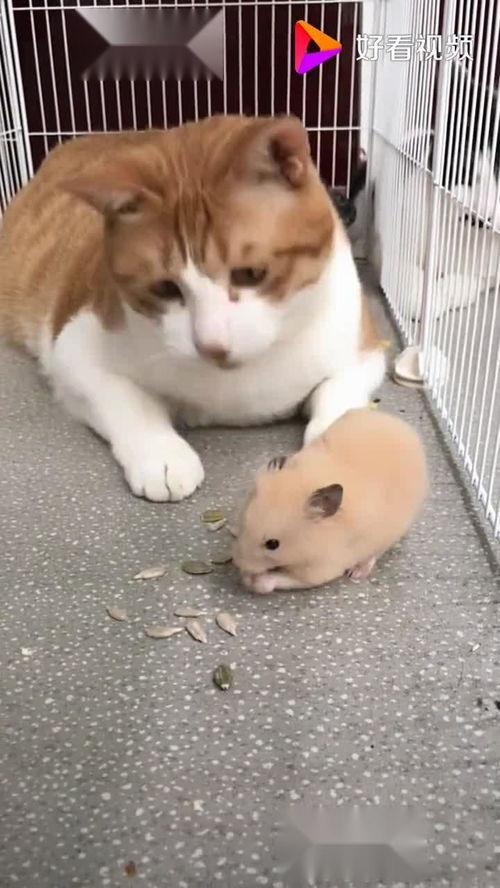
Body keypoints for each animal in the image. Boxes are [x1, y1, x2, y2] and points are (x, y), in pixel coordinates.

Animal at [0, 115, 385, 502]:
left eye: (250, 274)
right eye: (165, 288)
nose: (211, 345)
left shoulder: (365, 348)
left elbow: (338, 392)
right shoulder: (72, 351)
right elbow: (127, 399)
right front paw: (161, 453)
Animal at [232, 408, 428, 593]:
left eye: (273, 544)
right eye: (243, 524)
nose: (238, 563)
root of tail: (406, 429)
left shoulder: (322, 568)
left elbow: (284, 579)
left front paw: (253, 580)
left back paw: (357, 572)